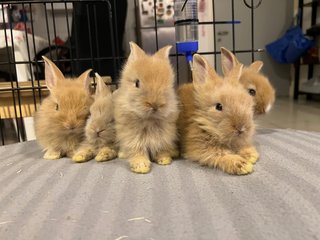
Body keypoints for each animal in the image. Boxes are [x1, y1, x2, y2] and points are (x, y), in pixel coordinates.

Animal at [114, 42, 180, 173]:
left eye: (169, 85)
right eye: (137, 83)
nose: (155, 104)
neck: (149, 119)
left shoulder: (164, 134)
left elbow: (160, 146)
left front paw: (164, 159)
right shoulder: (132, 137)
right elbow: (137, 150)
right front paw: (141, 166)